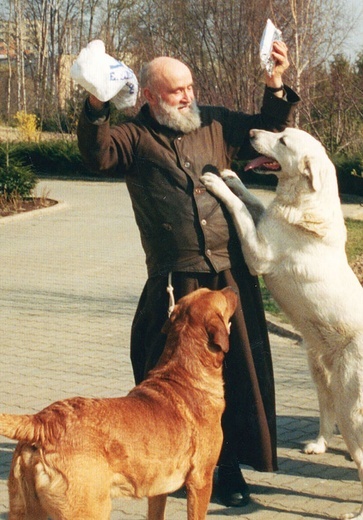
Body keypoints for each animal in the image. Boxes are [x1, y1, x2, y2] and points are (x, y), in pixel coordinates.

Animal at [0, 288, 237, 520]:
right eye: (221, 296)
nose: (232, 289)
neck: (185, 375)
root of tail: (44, 421)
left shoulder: (158, 489)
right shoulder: (201, 480)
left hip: (24, 508)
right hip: (90, 509)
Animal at [203, 127, 363, 520]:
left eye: (284, 142)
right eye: (281, 132)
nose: (252, 131)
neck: (304, 202)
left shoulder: (258, 251)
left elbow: (241, 212)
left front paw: (218, 184)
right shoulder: (265, 220)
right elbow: (253, 203)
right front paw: (232, 178)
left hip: (351, 405)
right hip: (321, 370)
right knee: (326, 410)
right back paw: (319, 444)